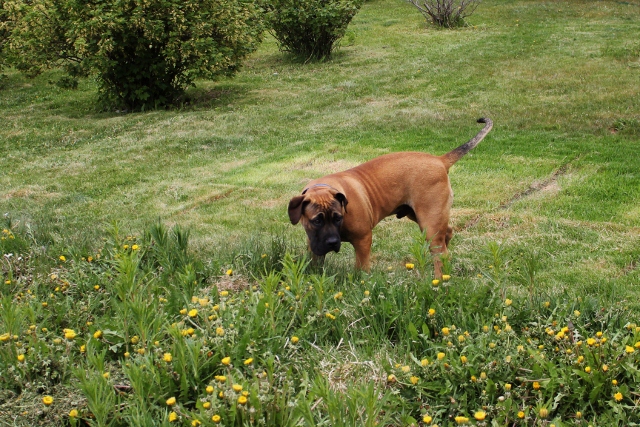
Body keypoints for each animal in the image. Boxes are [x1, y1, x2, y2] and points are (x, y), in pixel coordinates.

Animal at [288, 118, 493, 277]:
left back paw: (440, 280)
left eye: (338, 218)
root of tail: (439, 160)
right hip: (420, 216)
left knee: (439, 254)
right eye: (316, 221)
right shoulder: (314, 243)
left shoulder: (363, 241)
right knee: (446, 235)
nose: (332, 242)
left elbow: (361, 269)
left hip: (429, 222)